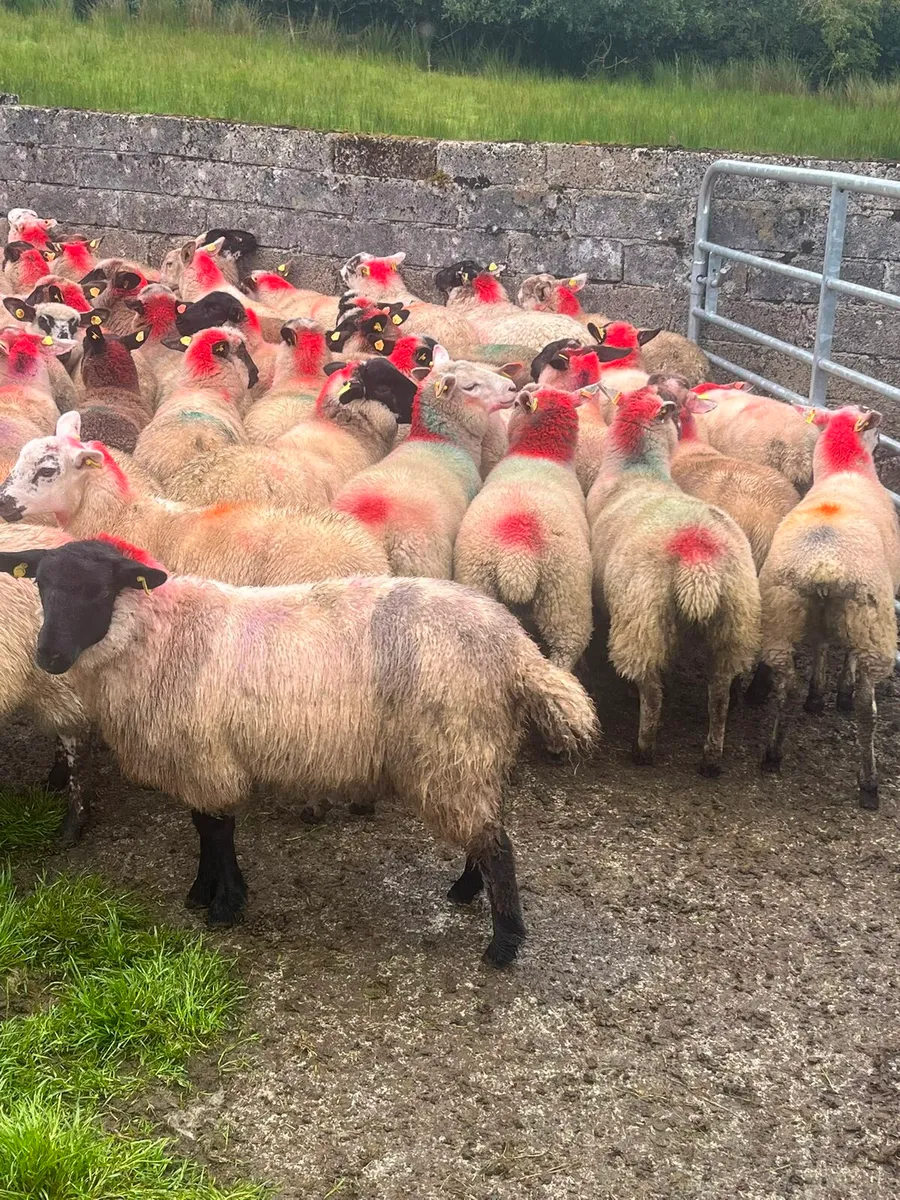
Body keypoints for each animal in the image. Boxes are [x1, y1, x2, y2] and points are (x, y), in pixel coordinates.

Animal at [588, 386, 760, 774]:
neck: (638, 469)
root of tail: (698, 558)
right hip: (734, 624)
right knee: (719, 695)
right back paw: (711, 758)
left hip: (642, 620)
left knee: (652, 692)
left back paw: (643, 749)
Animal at [758, 406, 900, 809]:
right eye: (875, 432)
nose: (881, 435)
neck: (844, 471)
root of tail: (825, 564)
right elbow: (845, 659)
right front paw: (840, 691)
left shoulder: (820, 617)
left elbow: (821, 647)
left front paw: (817, 695)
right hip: (871, 622)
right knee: (868, 708)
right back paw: (869, 784)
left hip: (781, 615)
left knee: (786, 686)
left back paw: (773, 753)